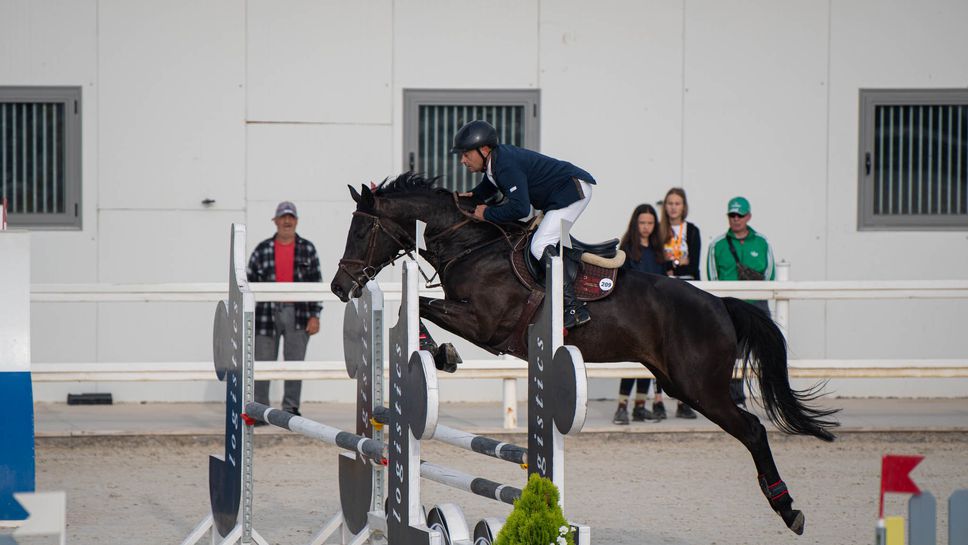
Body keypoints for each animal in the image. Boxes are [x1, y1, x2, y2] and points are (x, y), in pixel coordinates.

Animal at [328, 172, 836, 532]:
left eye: (361, 232)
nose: (338, 287)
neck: (471, 245)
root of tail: (720, 304)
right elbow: (419, 307)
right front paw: (437, 352)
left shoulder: (485, 325)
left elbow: (423, 306)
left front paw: (439, 352)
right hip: (679, 383)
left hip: (701, 387)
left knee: (752, 429)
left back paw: (787, 508)